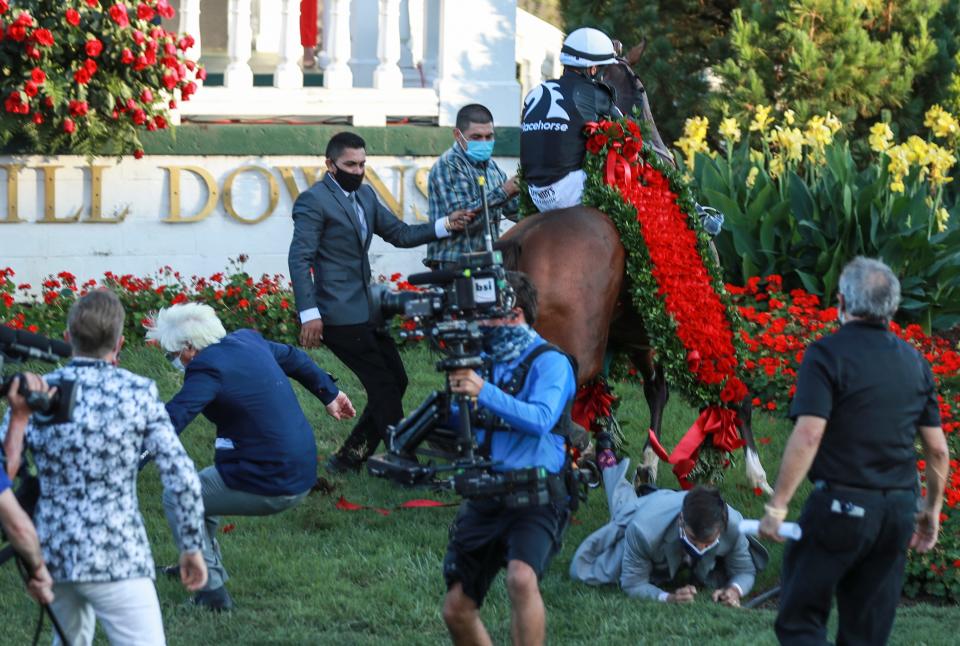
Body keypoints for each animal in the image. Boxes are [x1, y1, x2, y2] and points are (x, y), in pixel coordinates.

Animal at [496, 55, 772, 494]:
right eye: (640, 88)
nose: (663, 150)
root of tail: (523, 241)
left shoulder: (632, 336)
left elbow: (637, 394)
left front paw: (631, 460)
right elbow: (731, 388)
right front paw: (757, 472)